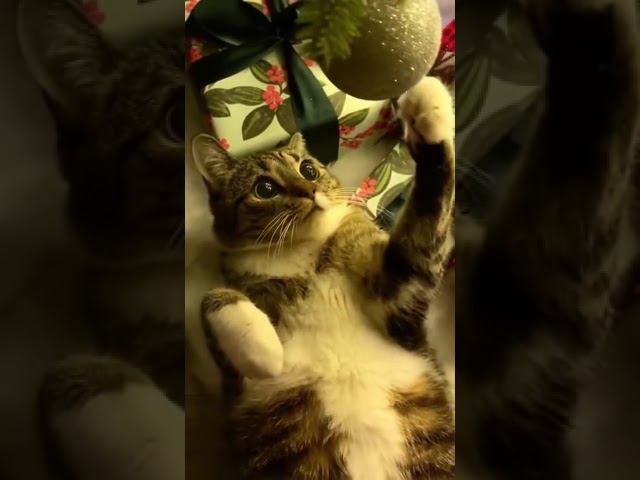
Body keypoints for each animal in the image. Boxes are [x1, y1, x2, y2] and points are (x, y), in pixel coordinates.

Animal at [189, 76, 456, 480]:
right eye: (265, 188)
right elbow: (211, 298)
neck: (303, 255)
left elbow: (429, 209)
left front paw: (428, 106)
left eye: (309, 170)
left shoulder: (399, 295)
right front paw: (262, 349)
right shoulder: (238, 386)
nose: (310, 190)